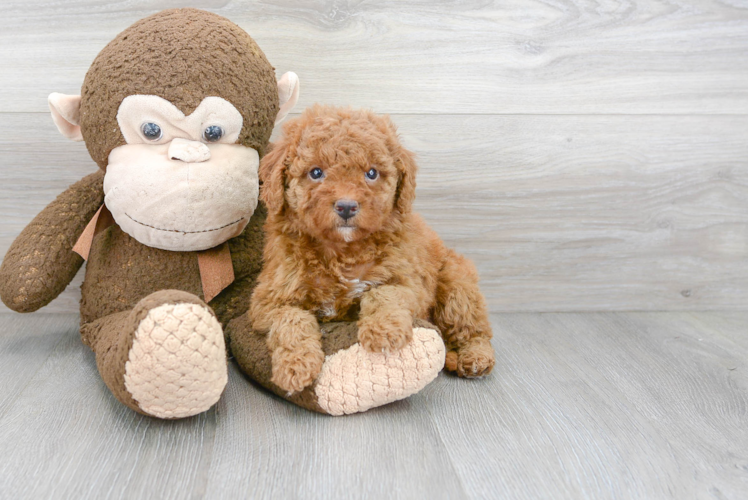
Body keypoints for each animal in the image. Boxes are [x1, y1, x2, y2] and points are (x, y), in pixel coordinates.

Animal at [251, 106, 494, 394]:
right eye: (316, 173)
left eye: (371, 173)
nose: (346, 206)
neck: (342, 251)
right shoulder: (270, 299)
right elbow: (290, 319)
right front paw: (295, 365)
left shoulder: (409, 283)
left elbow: (382, 293)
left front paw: (383, 332)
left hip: (457, 284)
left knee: (471, 326)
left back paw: (474, 357)